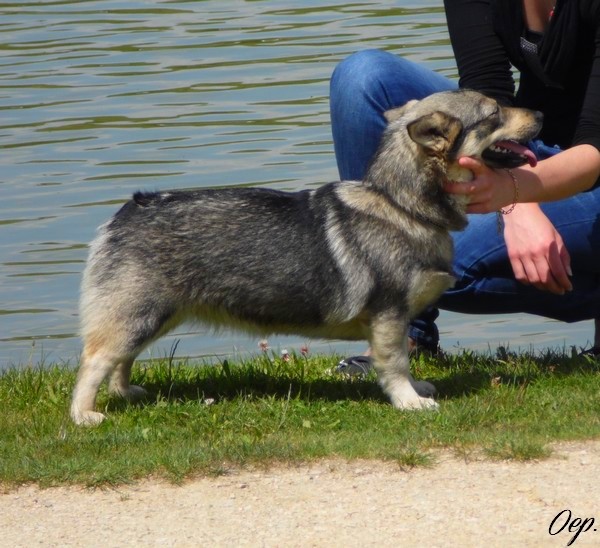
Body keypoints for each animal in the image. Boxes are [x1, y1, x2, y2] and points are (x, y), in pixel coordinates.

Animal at [71, 89, 544, 424]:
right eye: (494, 112)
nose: (540, 114)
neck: (401, 204)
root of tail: (129, 210)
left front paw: (417, 389)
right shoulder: (389, 315)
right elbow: (394, 364)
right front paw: (408, 401)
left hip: (154, 317)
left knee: (121, 361)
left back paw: (126, 393)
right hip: (138, 315)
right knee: (95, 362)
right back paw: (85, 415)